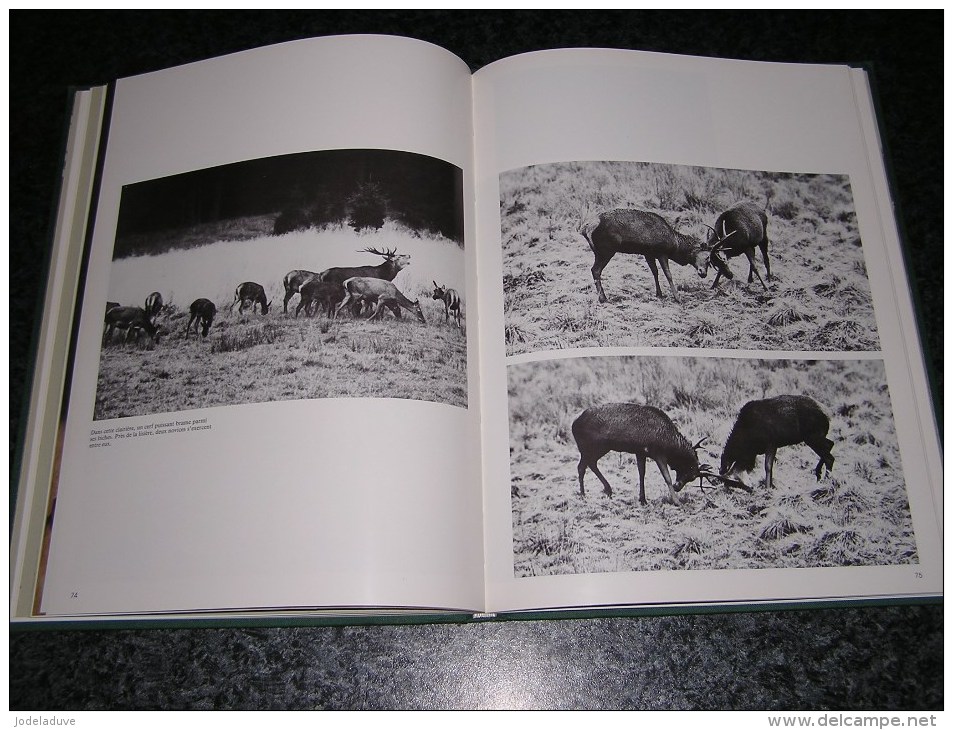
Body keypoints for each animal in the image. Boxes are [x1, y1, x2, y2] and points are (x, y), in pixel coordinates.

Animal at [568, 400, 732, 504]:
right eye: (690, 472)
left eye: (692, 477)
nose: (678, 487)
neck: (669, 442)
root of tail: (573, 424)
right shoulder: (657, 452)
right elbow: (666, 477)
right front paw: (677, 501)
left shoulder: (640, 451)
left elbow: (642, 473)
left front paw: (643, 499)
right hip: (589, 446)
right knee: (582, 466)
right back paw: (583, 494)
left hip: (600, 447)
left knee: (591, 463)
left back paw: (607, 490)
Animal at [576, 208, 732, 302]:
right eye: (708, 257)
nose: (703, 273)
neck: (675, 244)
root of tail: (585, 228)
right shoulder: (662, 252)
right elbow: (668, 274)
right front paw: (678, 298)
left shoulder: (648, 253)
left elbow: (655, 272)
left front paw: (659, 294)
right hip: (606, 250)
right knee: (595, 270)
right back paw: (603, 298)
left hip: (600, 251)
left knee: (594, 270)